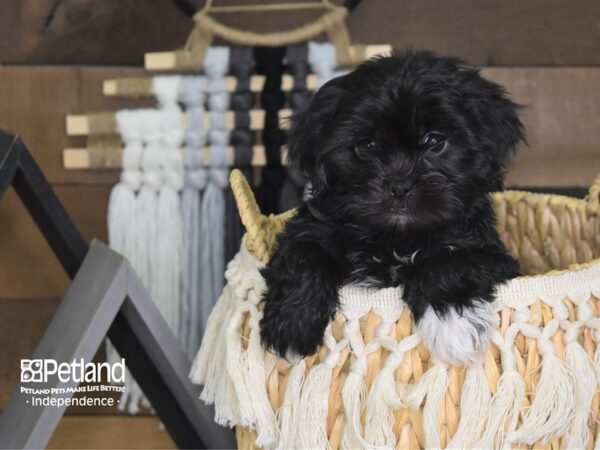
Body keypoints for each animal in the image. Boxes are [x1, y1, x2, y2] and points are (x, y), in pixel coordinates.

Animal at [260, 51, 524, 366]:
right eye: (367, 146)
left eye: (435, 141)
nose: (400, 185)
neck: (395, 238)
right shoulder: (313, 225)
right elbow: (302, 252)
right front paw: (292, 324)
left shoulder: (487, 251)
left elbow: (448, 259)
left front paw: (454, 325)